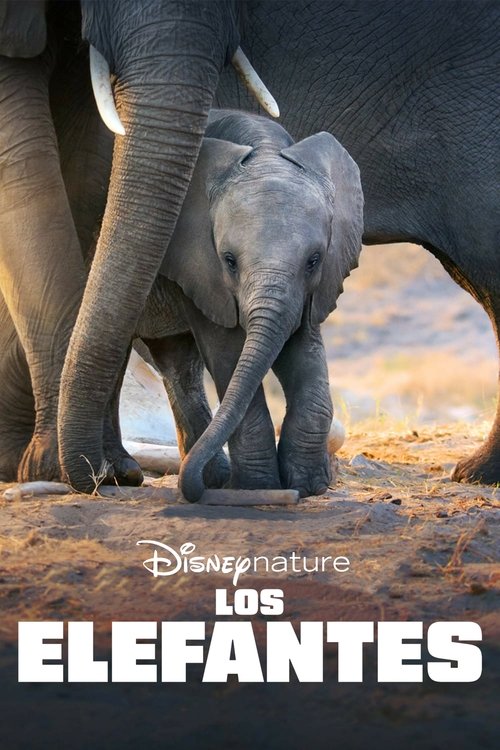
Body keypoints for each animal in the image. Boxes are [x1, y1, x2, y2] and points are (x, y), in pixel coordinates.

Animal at [133, 109, 363, 501]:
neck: (264, 149)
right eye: (229, 261)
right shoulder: (199, 265)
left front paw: (309, 486)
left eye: (314, 260)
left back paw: (212, 478)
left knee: (176, 363)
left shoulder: (312, 289)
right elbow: (228, 352)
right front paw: (259, 488)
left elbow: (303, 350)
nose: (190, 489)